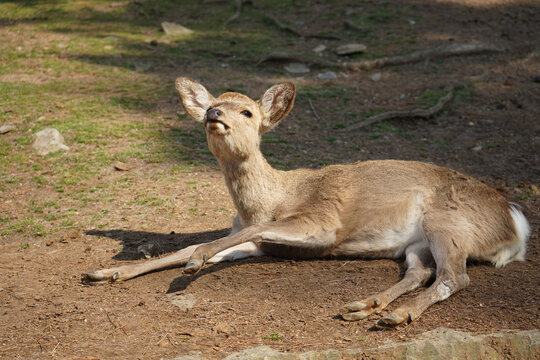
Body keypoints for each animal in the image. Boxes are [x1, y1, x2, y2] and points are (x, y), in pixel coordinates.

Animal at [85, 77, 532, 328]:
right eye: (212, 104)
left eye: (247, 112)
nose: (212, 113)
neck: (271, 197)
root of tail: (516, 228)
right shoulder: (253, 240)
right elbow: (194, 244)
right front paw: (107, 272)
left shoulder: (322, 222)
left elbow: (213, 243)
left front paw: (193, 265)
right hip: (417, 242)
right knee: (421, 272)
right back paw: (365, 306)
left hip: (449, 222)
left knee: (455, 277)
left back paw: (395, 315)